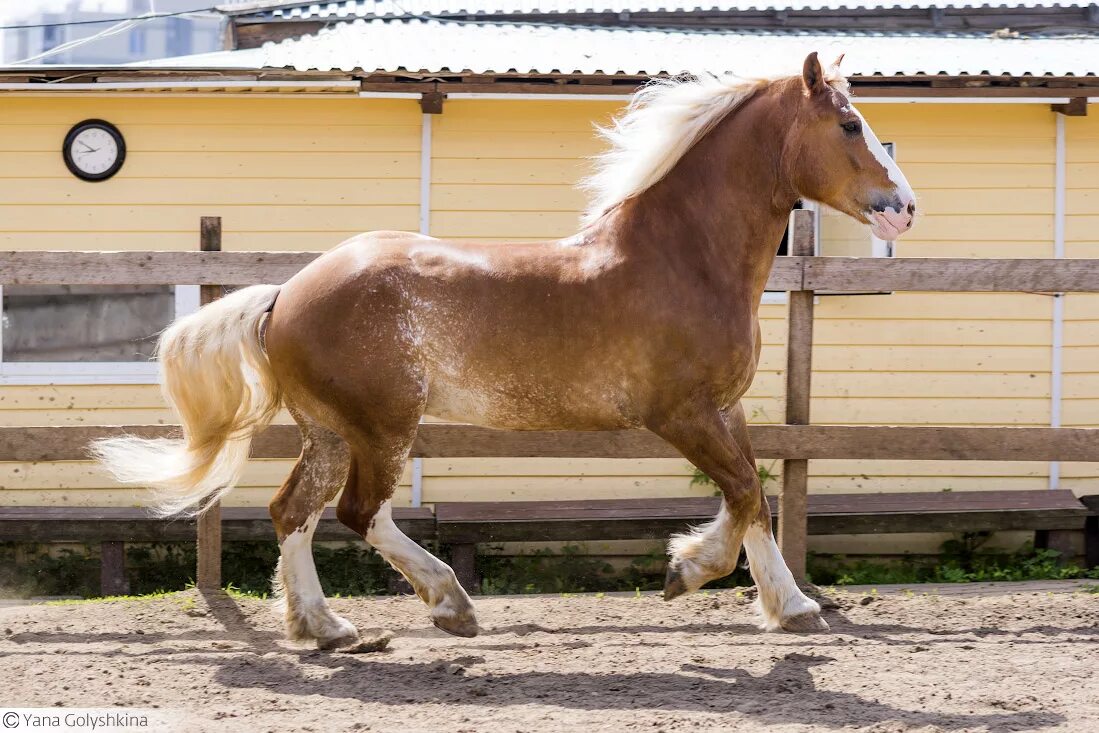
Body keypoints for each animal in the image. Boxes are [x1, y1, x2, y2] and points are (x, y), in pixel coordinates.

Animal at [96, 51, 918, 646]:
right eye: (849, 124)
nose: (904, 208)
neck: (683, 257)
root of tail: (285, 295)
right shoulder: (680, 414)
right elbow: (744, 494)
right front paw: (684, 571)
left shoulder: (726, 408)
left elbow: (758, 501)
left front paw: (791, 607)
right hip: (382, 424)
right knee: (359, 511)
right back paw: (448, 604)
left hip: (329, 429)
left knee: (292, 508)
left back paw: (326, 627)